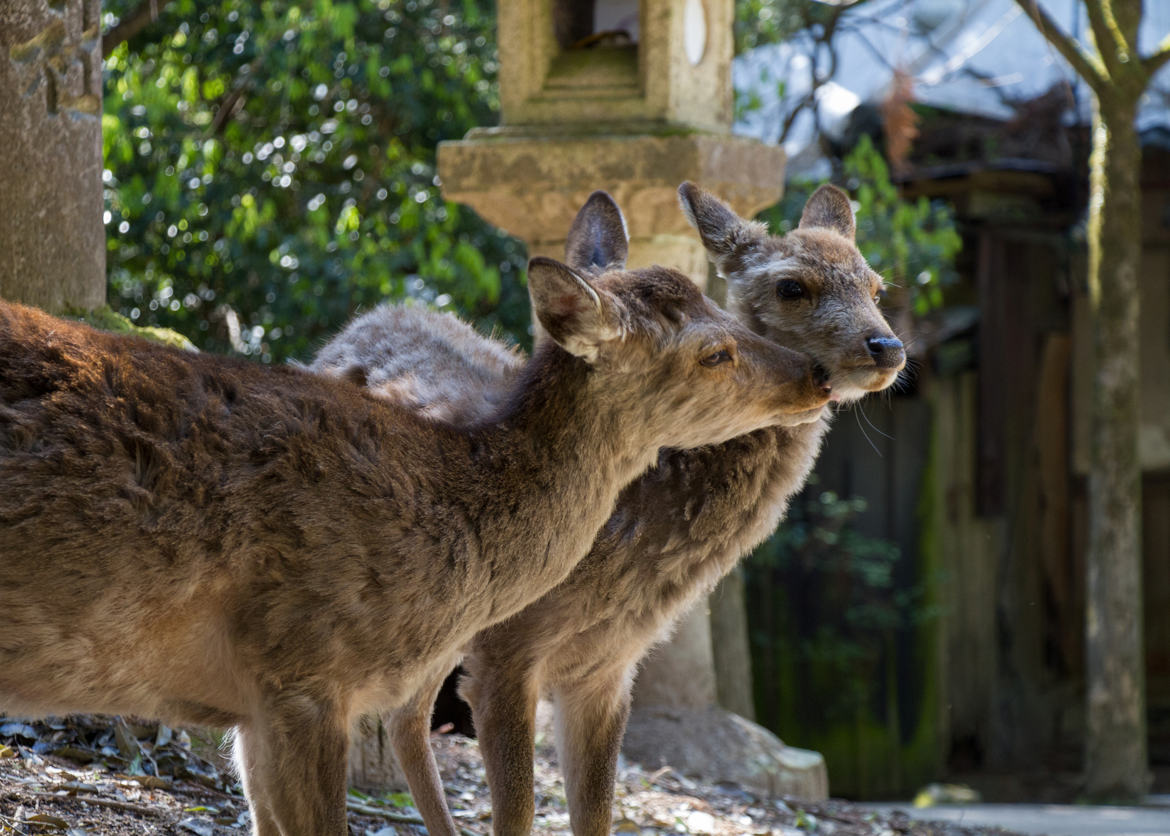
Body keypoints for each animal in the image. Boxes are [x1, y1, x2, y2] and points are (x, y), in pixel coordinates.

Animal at [315, 184, 907, 836]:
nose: (887, 347)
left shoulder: (610, 666)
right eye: (792, 286)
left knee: (404, 714)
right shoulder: (501, 651)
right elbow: (517, 813)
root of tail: (365, 319)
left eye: (876, 287)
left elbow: (598, 810)